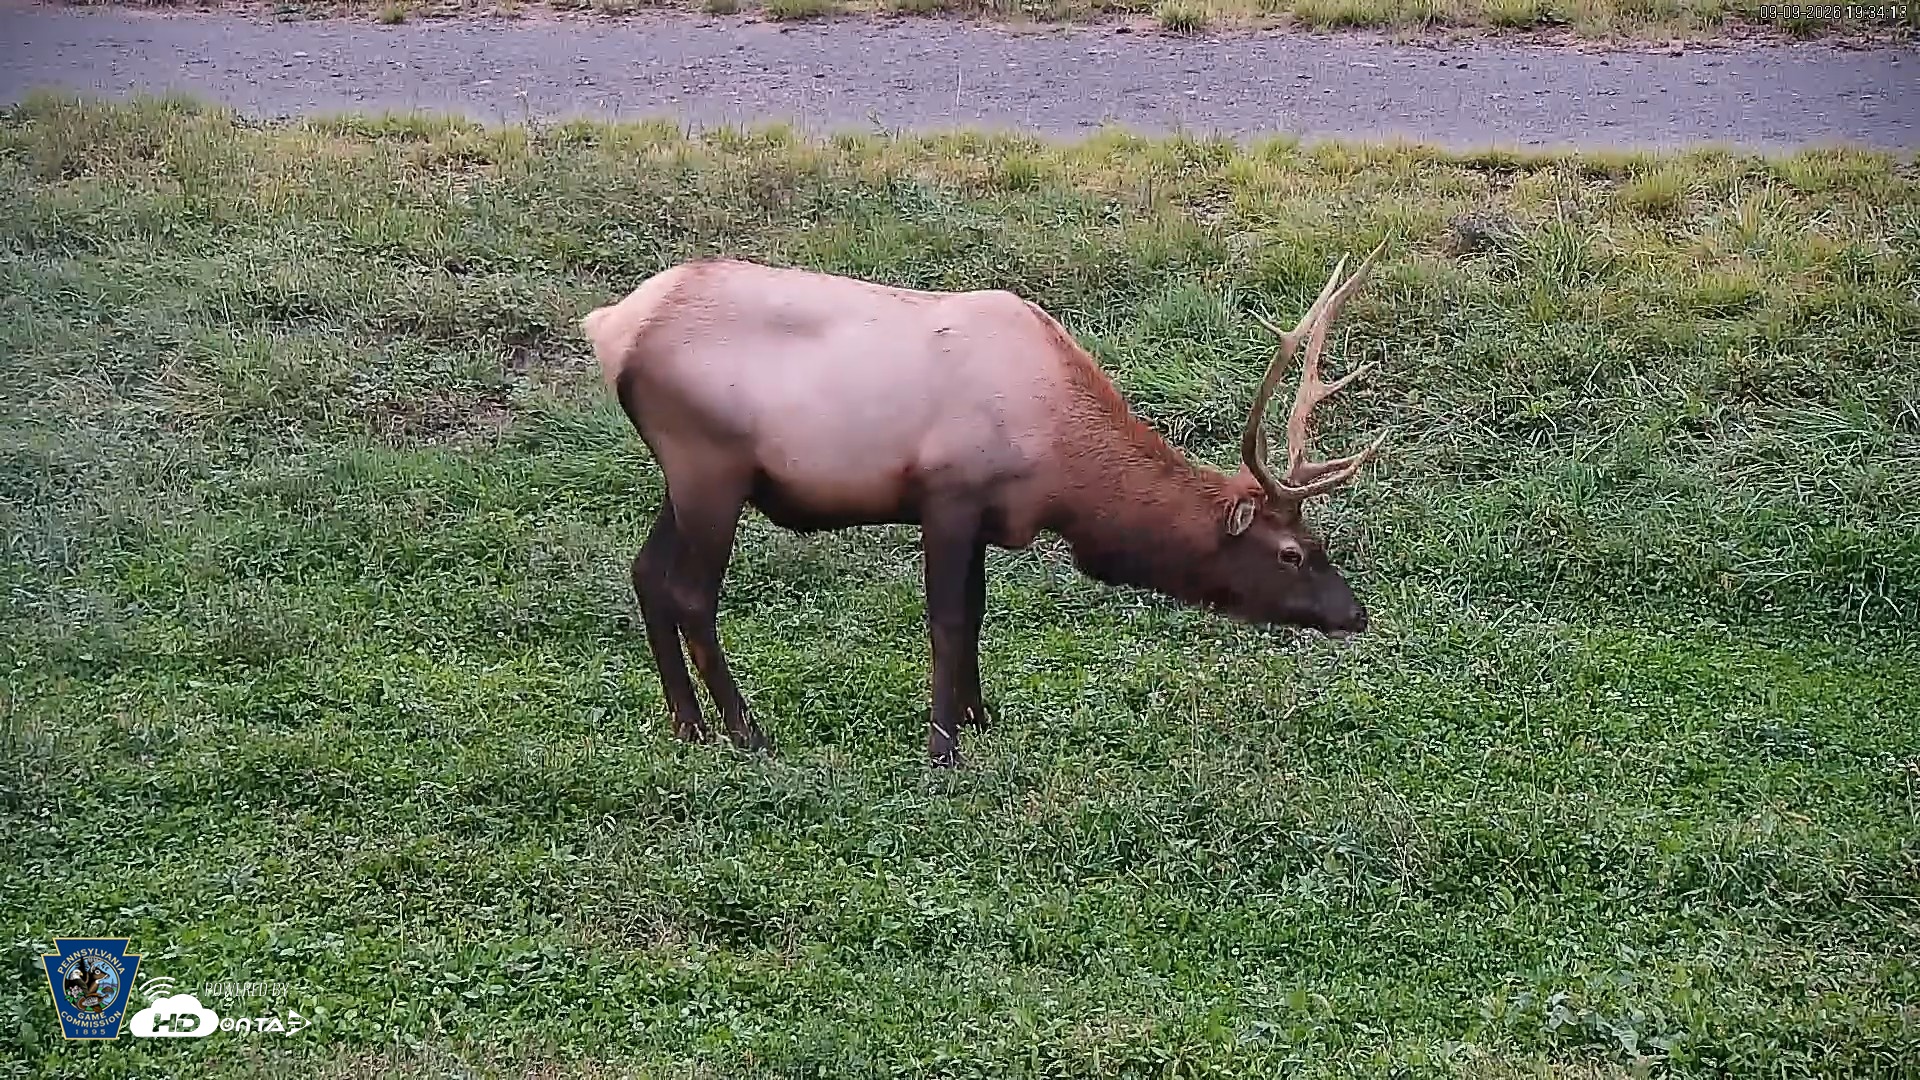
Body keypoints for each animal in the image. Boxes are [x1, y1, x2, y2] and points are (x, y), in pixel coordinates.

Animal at [579, 241, 1391, 767]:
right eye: (1292, 553)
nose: (1355, 614)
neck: (1061, 466)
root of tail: (610, 326)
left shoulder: (983, 520)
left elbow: (974, 615)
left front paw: (980, 719)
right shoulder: (949, 493)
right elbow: (946, 619)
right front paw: (943, 749)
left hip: (685, 476)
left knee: (645, 573)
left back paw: (688, 727)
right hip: (709, 466)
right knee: (691, 592)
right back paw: (748, 734)